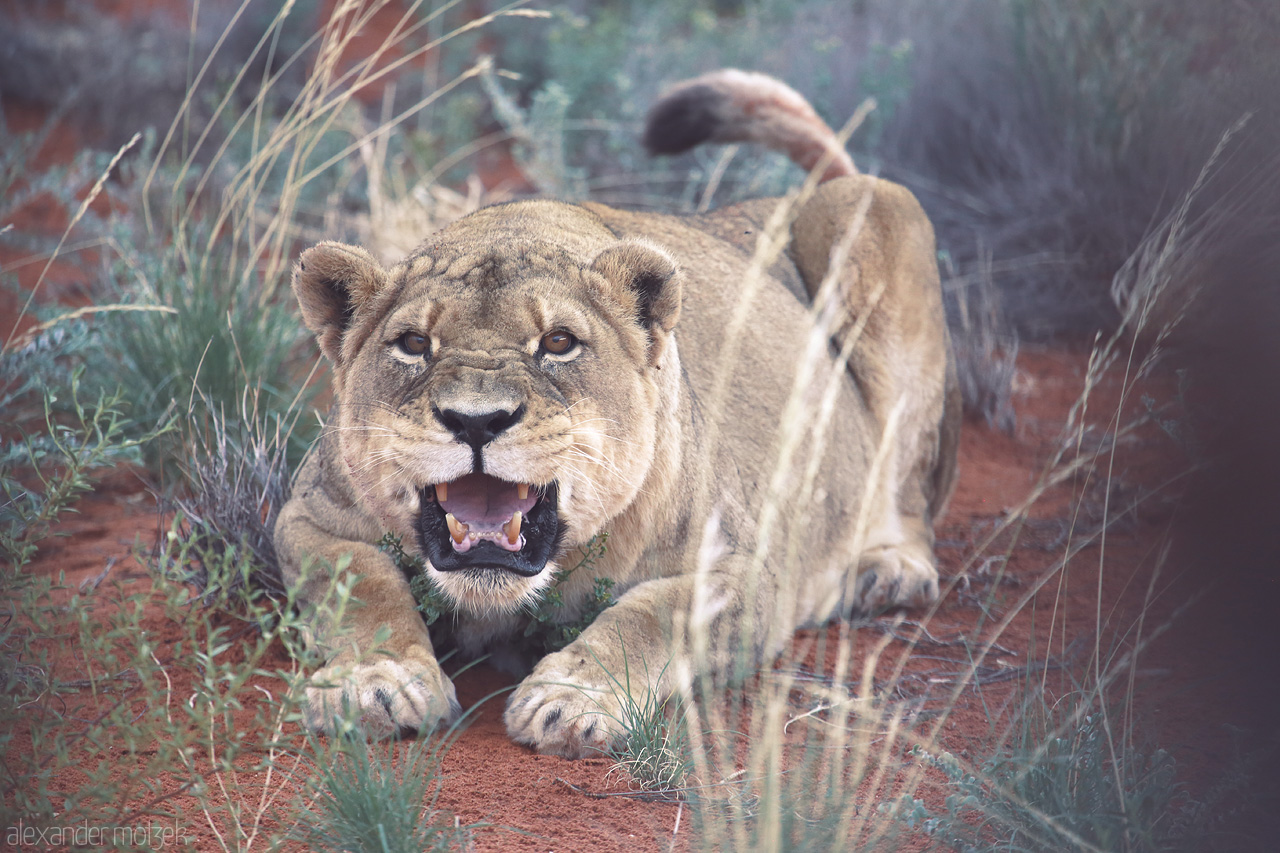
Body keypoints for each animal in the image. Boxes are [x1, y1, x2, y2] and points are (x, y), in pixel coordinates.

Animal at [274, 69, 960, 758]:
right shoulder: (306, 514)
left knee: (910, 485)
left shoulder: (743, 566)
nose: (476, 420)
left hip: (873, 210)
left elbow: (650, 616)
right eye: (414, 344)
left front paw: (571, 699)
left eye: (558, 343)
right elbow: (359, 583)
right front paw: (376, 683)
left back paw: (888, 571)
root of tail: (784, 200)